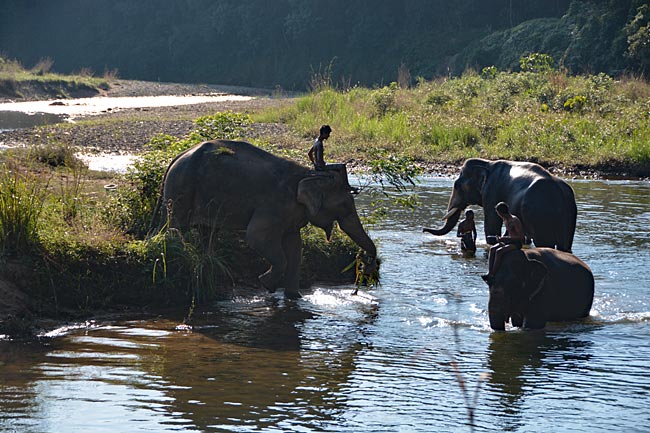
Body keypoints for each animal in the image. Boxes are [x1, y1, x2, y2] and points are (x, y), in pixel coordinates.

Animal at [154, 140, 378, 298]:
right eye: (345, 206)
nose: (367, 266)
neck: (308, 173)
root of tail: (177, 156)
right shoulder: (274, 203)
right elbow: (257, 238)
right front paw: (266, 284)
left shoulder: (292, 212)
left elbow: (295, 247)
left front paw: (294, 298)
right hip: (181, 187)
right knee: (175, 225)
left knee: (207, 231)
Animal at [422, 157, 576, 251]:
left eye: (457, 186)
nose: (423, 230)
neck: (487, 163)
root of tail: (560, 194)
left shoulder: (491, 192)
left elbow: (492, 221)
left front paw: (491, 242)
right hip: (569, 216)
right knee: (565, 245)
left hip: (539, 214)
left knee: (545, 243)